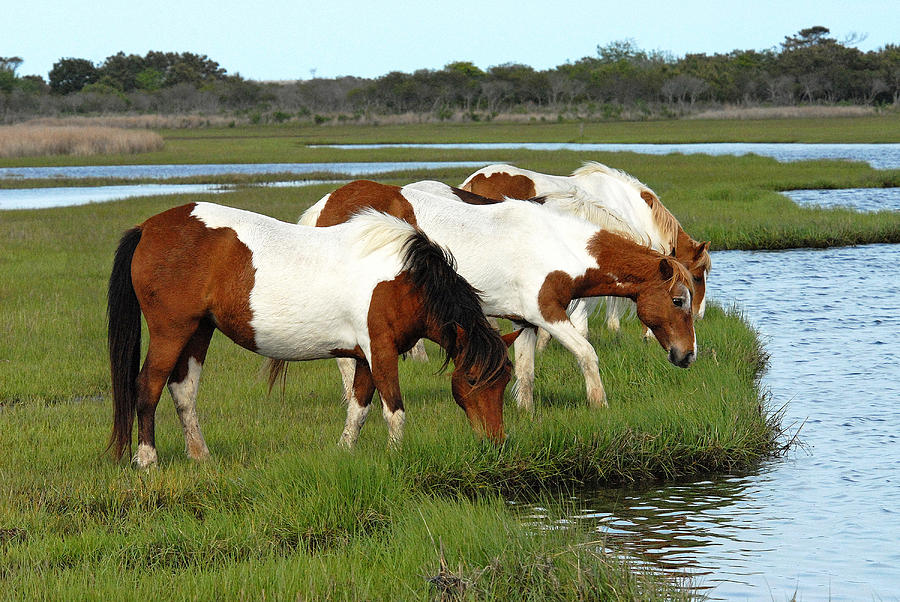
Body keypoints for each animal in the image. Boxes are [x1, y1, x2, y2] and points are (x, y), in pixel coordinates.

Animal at [106, 200, 516, 464]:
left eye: (505, 380)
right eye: (474, 379)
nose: (496, 443)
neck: (406, 279)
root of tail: (148, 228)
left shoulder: (365, 356)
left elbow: (359, 409)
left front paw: (345, 451)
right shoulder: (381, 351)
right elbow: (394, 410)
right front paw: (396, 457)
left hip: (198, 331)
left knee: (183, 391)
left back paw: (200, 456)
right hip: (171, 332)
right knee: (147, 388)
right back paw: (147, 460)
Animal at [300, 180, 696, 410]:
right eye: (679, 301)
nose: (687, 355)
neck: (558, 241)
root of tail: (326, 203)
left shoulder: (524, 321)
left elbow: (526, 372)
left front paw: (526, 413)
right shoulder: (547, 312)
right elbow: (587, 353)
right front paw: (599, 406)